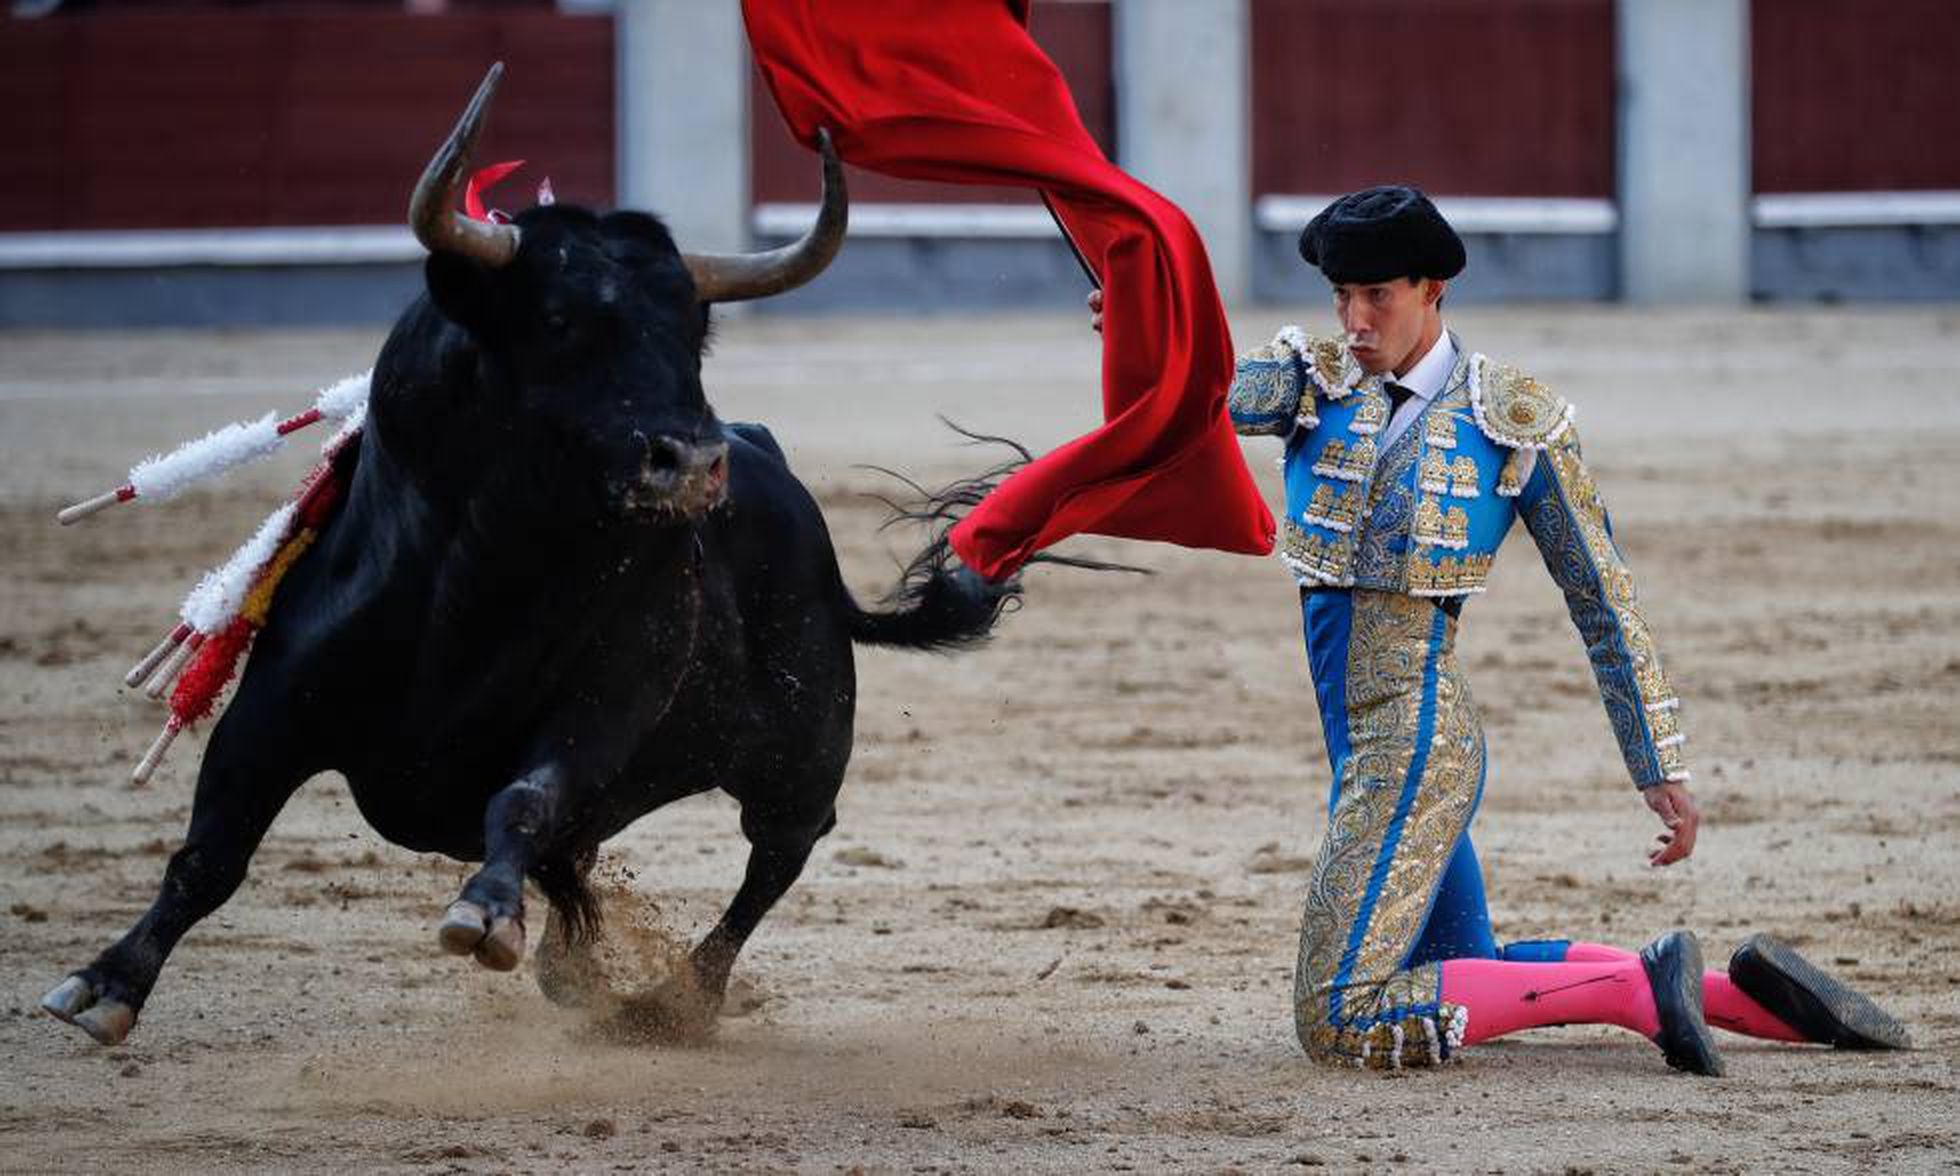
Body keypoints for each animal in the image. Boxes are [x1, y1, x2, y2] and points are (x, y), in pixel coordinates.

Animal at [38, 64, 1027, 1042]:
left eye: (693, 330)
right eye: (556, 320)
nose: (689, 462)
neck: (484, 574)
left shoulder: (598, 711)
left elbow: (526, 797)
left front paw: (485, 914)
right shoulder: (273, 707)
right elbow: (209, 852)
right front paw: (106, 983)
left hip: (803, 756)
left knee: (771, 859)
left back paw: (674, 1000)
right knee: (587, 869)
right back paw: (580, 968)